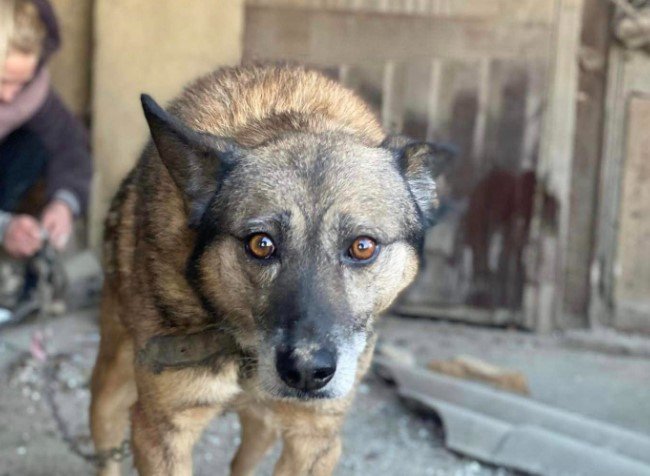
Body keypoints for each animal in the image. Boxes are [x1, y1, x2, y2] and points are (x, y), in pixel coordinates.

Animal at [88, 64, 448, 476]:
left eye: (363, 246)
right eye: (261, 244)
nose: (306, 372)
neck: (247, 353)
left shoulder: (315, 439)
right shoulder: (160, 432)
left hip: (264, 425)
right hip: (109, 393)